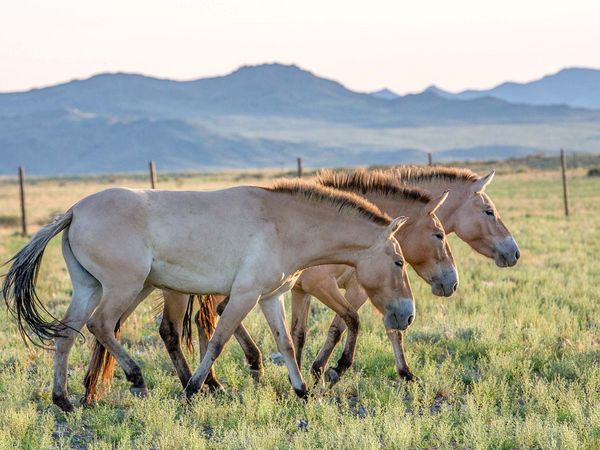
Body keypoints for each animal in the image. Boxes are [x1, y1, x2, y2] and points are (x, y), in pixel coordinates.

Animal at [4, 179, 414, 412]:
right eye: (398, 262)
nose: (407, 315)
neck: (283, 223)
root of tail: (74, 211)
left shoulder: (270, 298)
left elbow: (286, 344)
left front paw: (301, 391)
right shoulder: (245, 296)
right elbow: (217, 341)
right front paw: (193, 389)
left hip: (92, 288)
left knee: (67, 335)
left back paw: (64, 401)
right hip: (123, 287)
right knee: (100, 325)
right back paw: (135, 377)